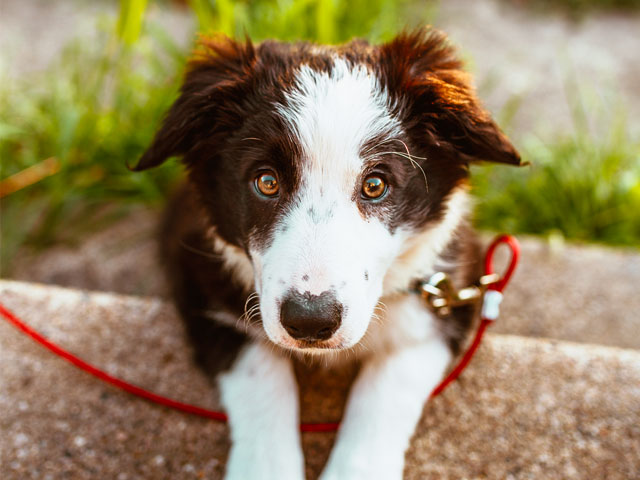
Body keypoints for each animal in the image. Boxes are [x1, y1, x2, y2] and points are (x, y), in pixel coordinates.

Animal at [134, 27, 520, 480]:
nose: (310, 322)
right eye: (266, 181)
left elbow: (387, 388)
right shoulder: (200, 279)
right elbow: (261, 374)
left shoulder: (447, 294)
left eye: (376, 185)